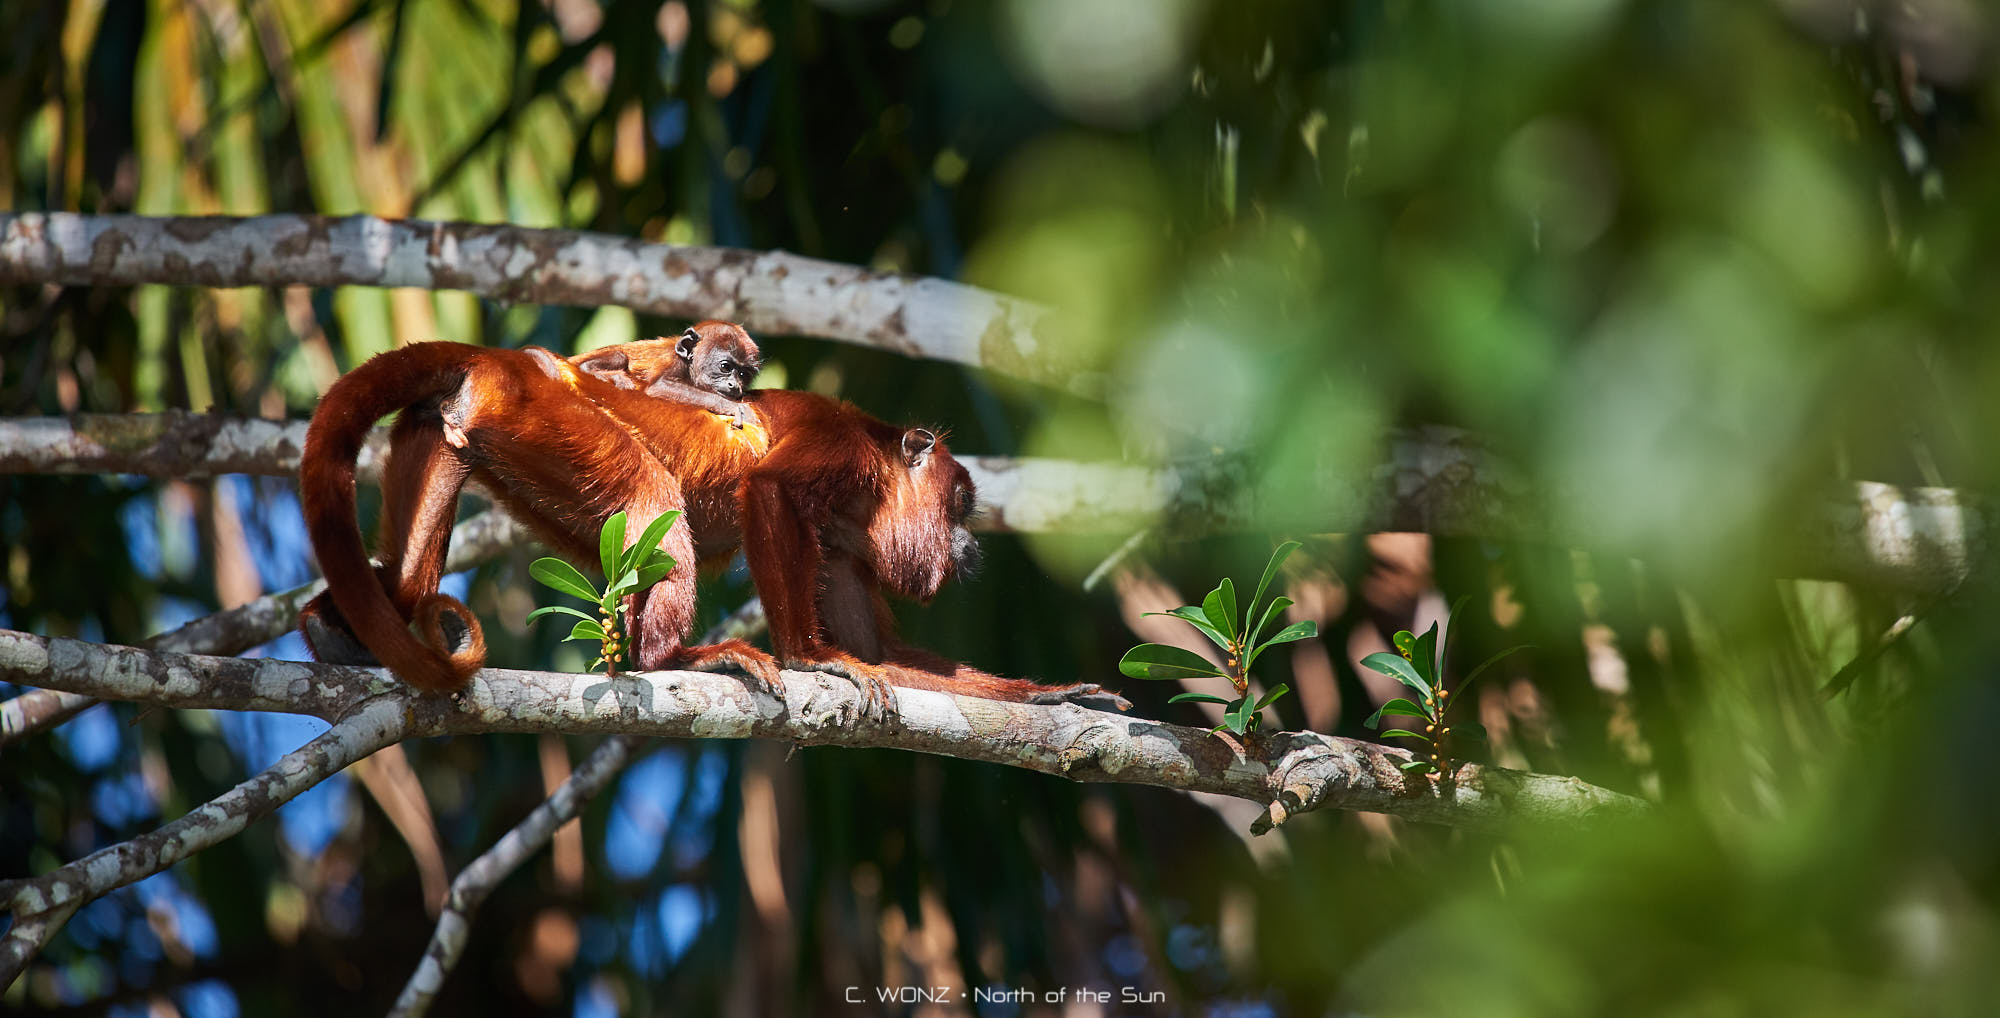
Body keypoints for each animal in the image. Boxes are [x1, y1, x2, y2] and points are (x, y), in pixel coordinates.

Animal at [584, 320, 768, 426]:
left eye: (743, 375)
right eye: (725, 367)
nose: (734, 385)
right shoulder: (674, 361)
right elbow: (659, 387)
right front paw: (734, 407)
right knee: (619, 356)